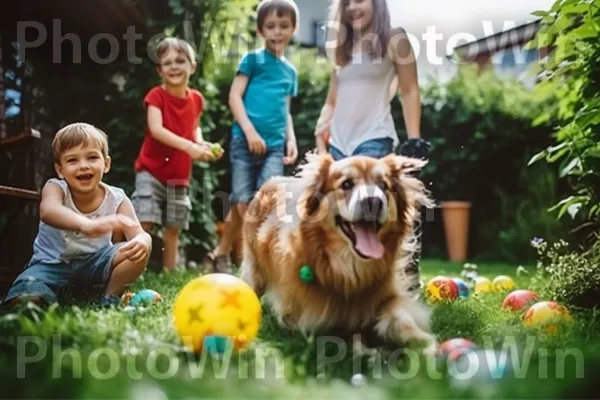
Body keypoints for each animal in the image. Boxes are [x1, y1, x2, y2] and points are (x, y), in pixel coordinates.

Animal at [239, 152, 436, 354]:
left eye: (383, 186)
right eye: (346, 184)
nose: (374, 201)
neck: (347, 269)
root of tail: (272, 181)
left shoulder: (390, 296)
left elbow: (401, 318)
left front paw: (423, 342)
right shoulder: (305, 317)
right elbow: (341, 334)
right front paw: (366, 350)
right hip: (255, 273)